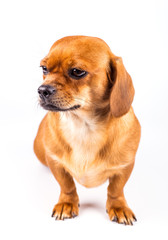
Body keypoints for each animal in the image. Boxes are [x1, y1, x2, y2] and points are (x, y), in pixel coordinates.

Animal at [33, 35, 140, 225]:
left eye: (77, 71)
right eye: (44, 68)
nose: (42, 90)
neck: (84, 127)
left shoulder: (125, 167)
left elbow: (115, 189)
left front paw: (118, 206)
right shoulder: (55, 163)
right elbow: (67, 185)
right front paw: (67, 203)